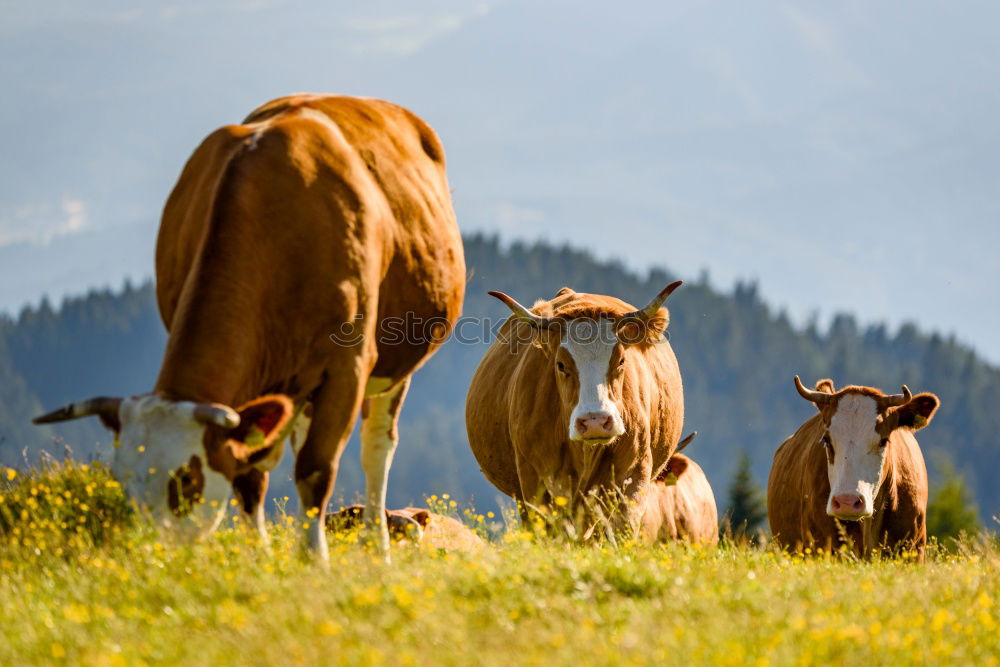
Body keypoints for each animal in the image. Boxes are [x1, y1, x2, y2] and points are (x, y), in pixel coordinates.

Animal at [32, 94, 464, 560]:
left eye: (186, 480)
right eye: (121, 480)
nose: (153, 554)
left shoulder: (346, 367)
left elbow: (315, 469)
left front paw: (315, 561)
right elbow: (248, 475)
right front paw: (263, 559)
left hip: (393, 368)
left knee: (376, 449)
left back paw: (377, 546)